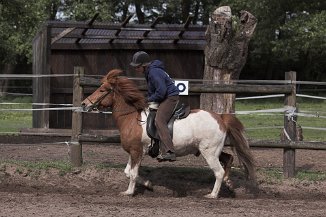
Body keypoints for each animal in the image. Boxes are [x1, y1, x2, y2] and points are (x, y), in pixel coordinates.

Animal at [82, 69, 258, 198]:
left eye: (102, 90)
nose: (84, 104)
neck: (132, 118)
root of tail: (220, 117)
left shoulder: (137, 151)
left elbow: (132, 173)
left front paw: (129, 192)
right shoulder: (135, 151)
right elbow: (127, 172)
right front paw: (148, 184)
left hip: (209, 152)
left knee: (219, 172)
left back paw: (212, 195)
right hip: (212, 150)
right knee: (228, 159)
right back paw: (229, 183)